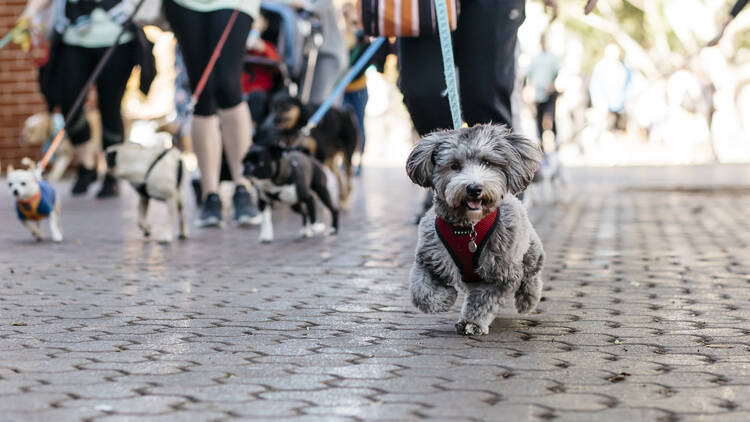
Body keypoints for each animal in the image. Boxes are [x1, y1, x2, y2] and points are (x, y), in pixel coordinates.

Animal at [408, 123, 544, 334]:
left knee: (532, 274)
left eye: (487, 162)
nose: (474, 188)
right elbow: (421, 292)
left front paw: (472, 323)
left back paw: (528, 299)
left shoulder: (500, 273)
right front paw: (446, 297)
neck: (468, 228)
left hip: (530, 250)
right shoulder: (429, 258)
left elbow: (483, 301)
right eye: (454, 165)